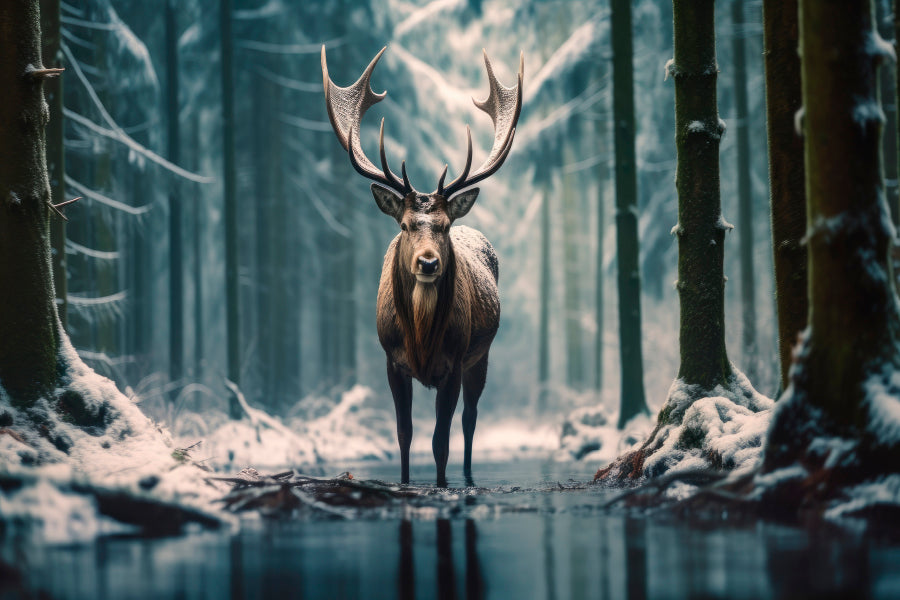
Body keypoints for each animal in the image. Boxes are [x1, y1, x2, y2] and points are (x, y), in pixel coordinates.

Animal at [321, 46, 522, 487]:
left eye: (445, 226)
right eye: (405, 225)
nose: (428, 262)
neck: (421, 337)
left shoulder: (455, 362)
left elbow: (440, 440)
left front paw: (444, 484)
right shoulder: (391, 361)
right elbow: (404, 433)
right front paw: (405, 482)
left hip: (482, 356)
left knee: (470, 419)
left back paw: (468, 477)